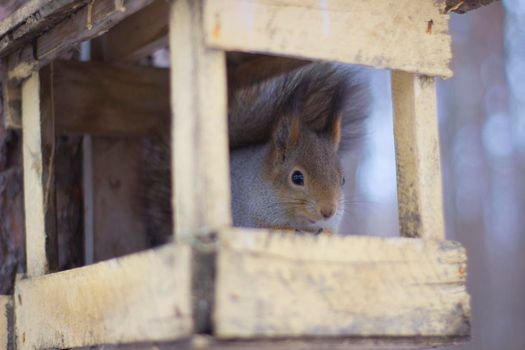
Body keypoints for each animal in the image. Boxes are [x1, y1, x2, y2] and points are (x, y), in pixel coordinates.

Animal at [141, 62, 366, 243]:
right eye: (297, 177)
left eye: (343, 180)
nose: (328, 211)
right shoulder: (247, 218)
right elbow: (272, 228)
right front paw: (287, 229)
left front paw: (326, 232)